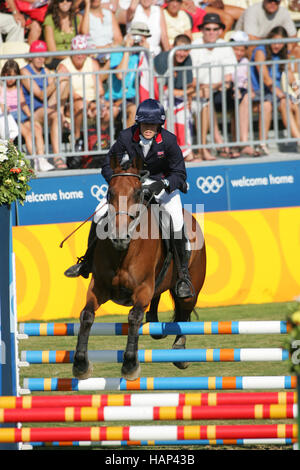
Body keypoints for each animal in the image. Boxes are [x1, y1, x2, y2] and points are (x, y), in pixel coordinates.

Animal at [72, 156, 206, 380]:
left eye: (136, 193)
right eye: (110, 193)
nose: (119, 237)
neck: (123, 252)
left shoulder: (142, 288)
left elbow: (134, 317)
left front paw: (130, 365)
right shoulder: (98, 287)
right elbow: (87, 316)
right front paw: (81, 364)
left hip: (190, 286)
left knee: (184, 311)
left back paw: (180, 351)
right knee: (158, 302)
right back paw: (155, 324)